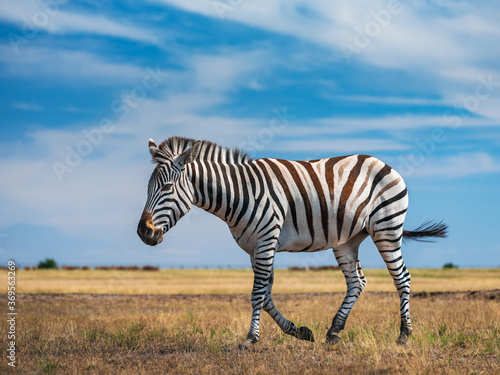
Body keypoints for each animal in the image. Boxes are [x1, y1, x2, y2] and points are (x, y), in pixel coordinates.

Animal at [138, 137, 450, 348]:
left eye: (167, 187)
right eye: (148, 188)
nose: (144, 233)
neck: (239, 193)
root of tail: (383, 163)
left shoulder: (266, 240)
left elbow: (257, 294)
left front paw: (250, 338)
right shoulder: (255, 247)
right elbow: (265, 296)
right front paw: (299, 331)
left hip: (386, 227)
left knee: (402, 278)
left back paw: (404, 334)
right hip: (347, 239)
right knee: (357, 282)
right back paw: (334, 331)